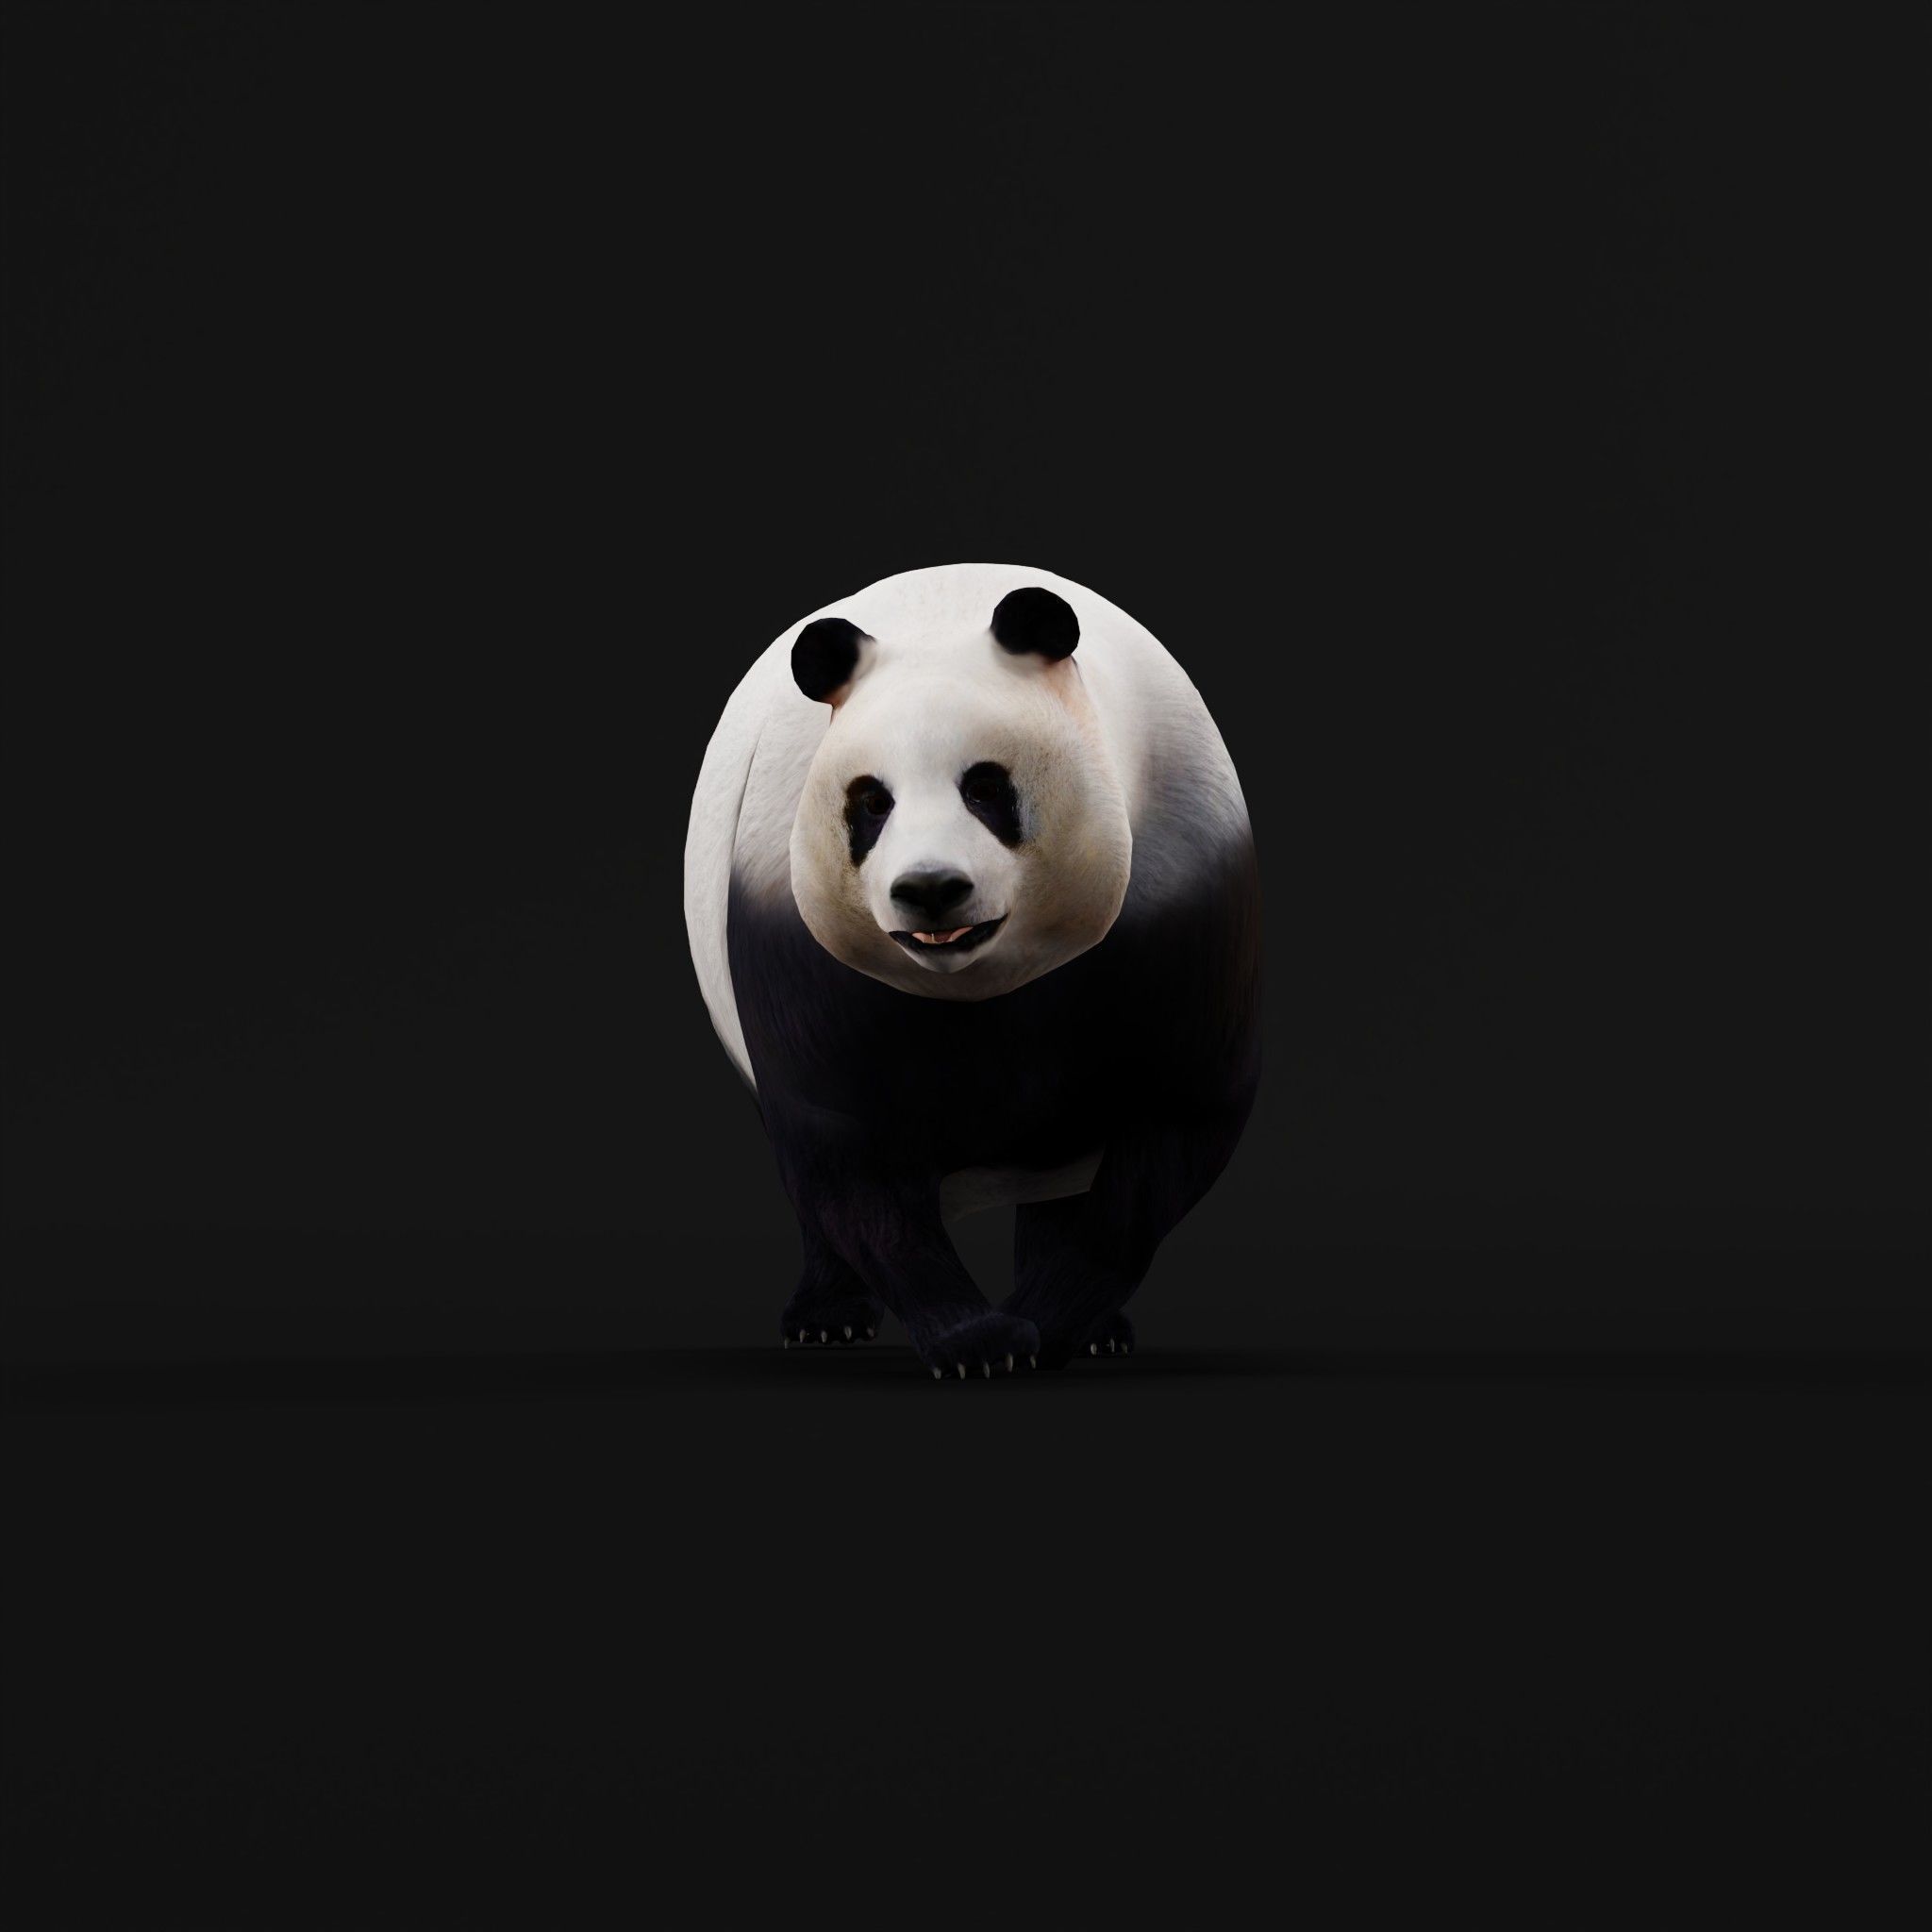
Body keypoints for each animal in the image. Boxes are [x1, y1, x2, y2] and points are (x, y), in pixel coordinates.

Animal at [684, 562, 1261, 1377]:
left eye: (985, 787)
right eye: (871, 802)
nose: (931, 887)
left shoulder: (1189, 897)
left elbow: (1175, 1125)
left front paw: (1045, 1326)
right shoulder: (789, 932)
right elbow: (846, 1151)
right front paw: (980, 1340)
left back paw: (1100, 1329)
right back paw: (826, 1317)